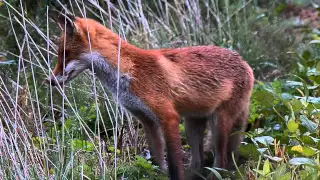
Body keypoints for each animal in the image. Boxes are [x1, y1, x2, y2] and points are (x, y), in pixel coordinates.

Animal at [46, 10, 254, 180]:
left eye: (65, 54)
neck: (128, 72)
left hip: (219, 124)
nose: (50, 81)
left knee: (222, 163)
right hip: (192, 125)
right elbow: (157, 159)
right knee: (199, 162)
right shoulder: (146, 120)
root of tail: (244, 62)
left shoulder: (168, 117)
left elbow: (174, 165)